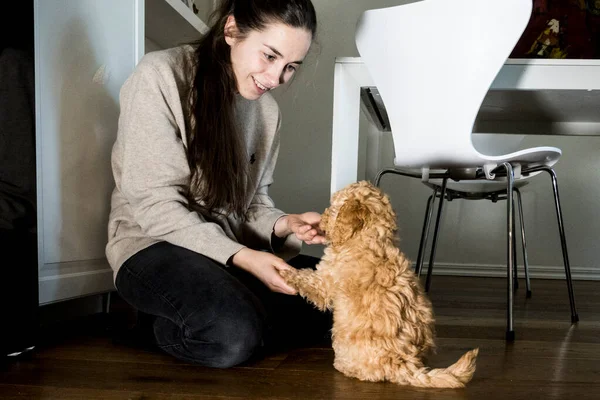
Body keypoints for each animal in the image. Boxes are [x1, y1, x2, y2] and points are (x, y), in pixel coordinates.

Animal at [280, 181, 478, 388]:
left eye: (333, 207)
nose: (320, 221)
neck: (370, 237)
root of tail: (405, 363)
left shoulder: (325, 282)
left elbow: (308, 279)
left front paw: (286, 272)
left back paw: (343, 366)